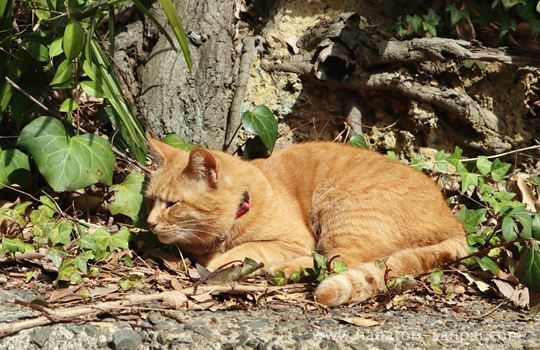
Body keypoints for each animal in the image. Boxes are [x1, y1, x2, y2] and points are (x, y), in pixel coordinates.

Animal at [146, 138, 466, 304]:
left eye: (172, 204)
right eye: (150, 199)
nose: (150, 223)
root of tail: (454, 222)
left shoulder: (294, 240)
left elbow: (247, 249)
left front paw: (217, 263)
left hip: (342, 211)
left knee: (336, 263)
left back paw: (284, 270)